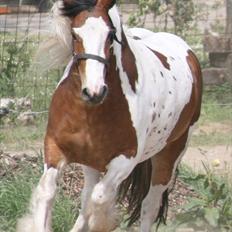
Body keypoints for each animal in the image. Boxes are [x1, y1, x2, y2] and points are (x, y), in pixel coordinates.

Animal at [16, 0, 202, 232]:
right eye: (74, 34)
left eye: (110, 35)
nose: (94, 91)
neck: (91, 111)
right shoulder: (54, 147)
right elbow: (47, 191)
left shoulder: (125, 160)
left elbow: (99, 199)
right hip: (91, 162)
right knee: (86, 196)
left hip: (170, 154)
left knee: (148, 205)